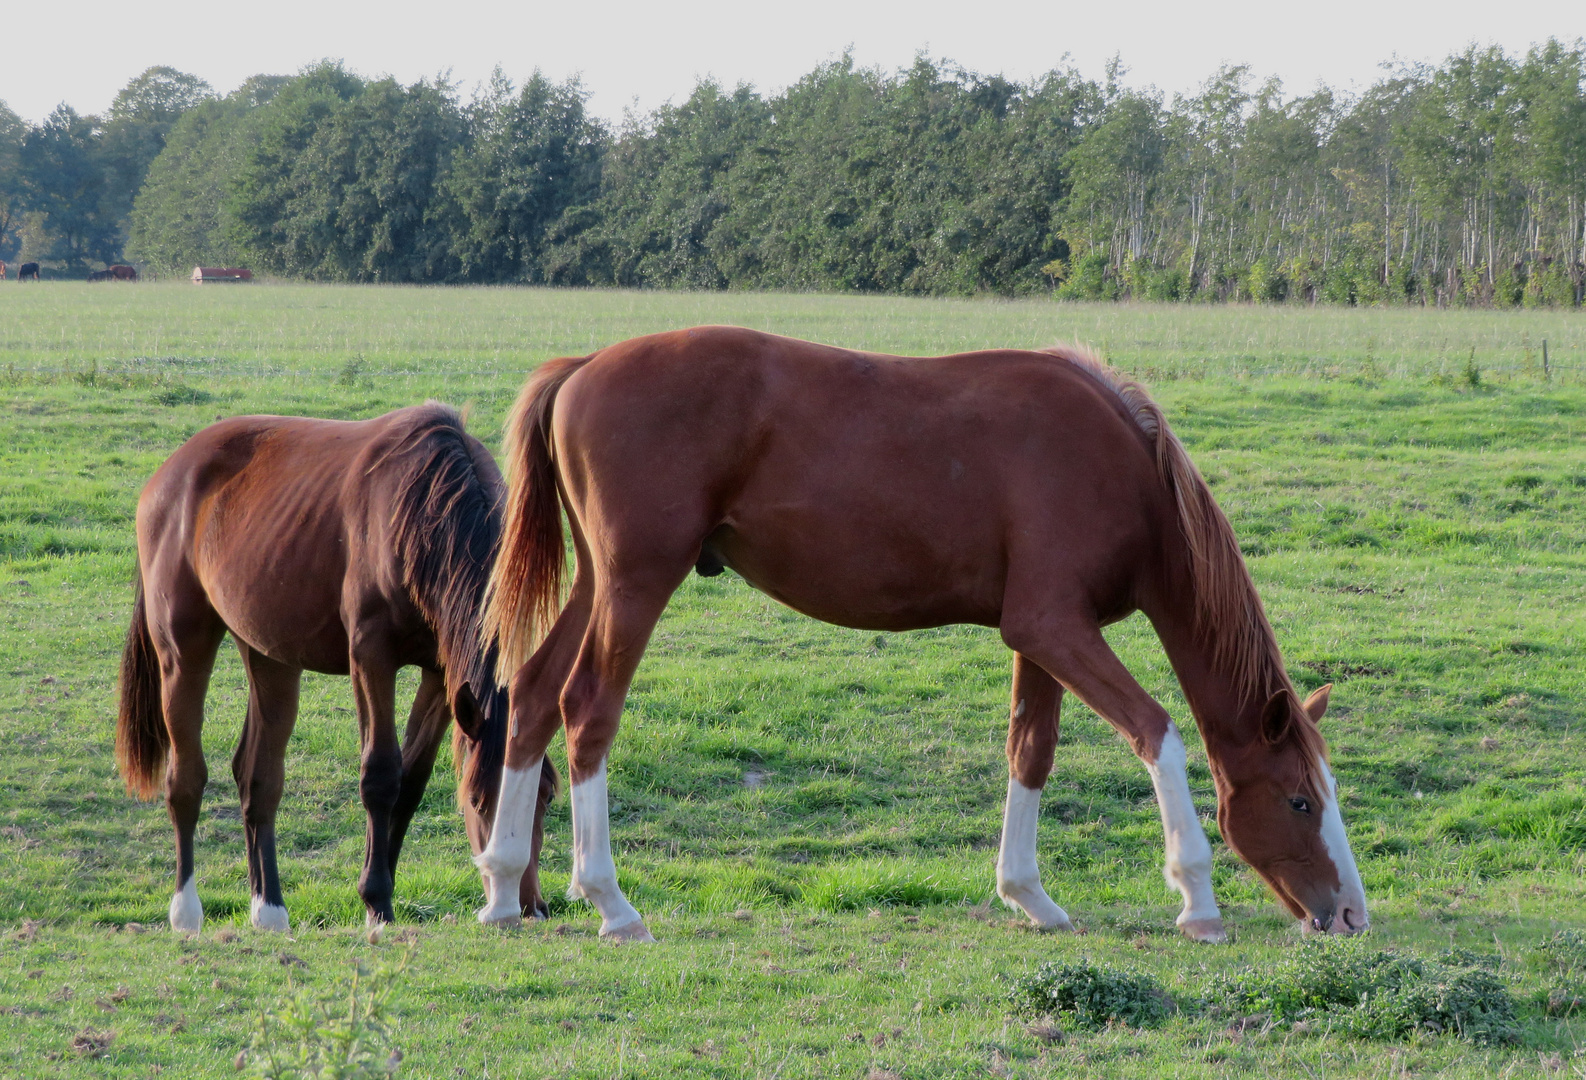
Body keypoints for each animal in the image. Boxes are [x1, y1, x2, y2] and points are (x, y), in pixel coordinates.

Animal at [115, 402, 558, 926]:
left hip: (269, 655)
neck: (425, 508)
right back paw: (186, 911)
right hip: (182, 650)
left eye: (547, 798)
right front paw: (376, 900)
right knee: (185, 779)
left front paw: (382, 889)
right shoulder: (371, 655)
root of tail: (170, 472)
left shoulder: (440, 672)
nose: (525, 906)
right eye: (477, 801)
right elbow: (381, 774)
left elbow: (411, 780)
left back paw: (269, 909)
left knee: (258, 777)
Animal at [475, 325, 1370, 938]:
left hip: (597, 585)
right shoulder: (1056, 627)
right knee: (588, 709)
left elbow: (1030, 751)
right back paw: (610, 902)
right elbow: (1158, 734)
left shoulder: (1040, 635)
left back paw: (503, 887)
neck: (1121, 467)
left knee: (531, 696)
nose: (1349, 915)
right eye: (1298, 799)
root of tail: (583, 367)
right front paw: (1196, 896)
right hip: (635, 586)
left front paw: (1029, 896)